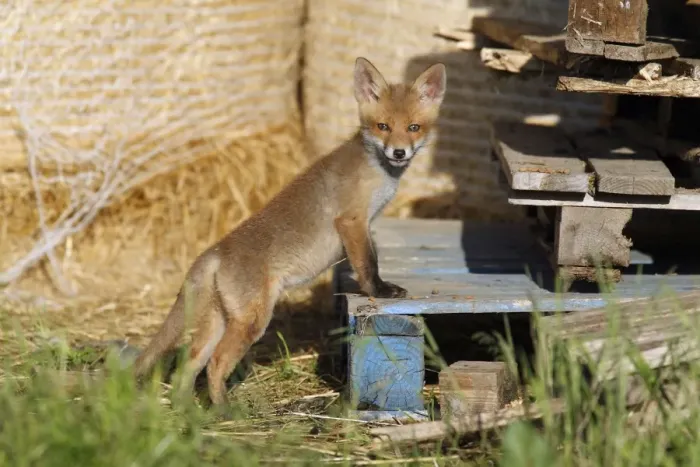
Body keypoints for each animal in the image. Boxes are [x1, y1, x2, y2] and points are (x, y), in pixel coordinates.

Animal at [131, 57, 447, 407]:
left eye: (413, 127)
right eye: (383, 127)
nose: (399, 153)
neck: (377, 171)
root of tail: (215, 251)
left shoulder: (364, 224)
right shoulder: (352, 221)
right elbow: (367, 265)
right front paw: (379, 291)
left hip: (219, 321)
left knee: (189, 364)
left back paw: (191, 411)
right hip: (252, 321)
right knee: (215, 365)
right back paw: (226, 412)